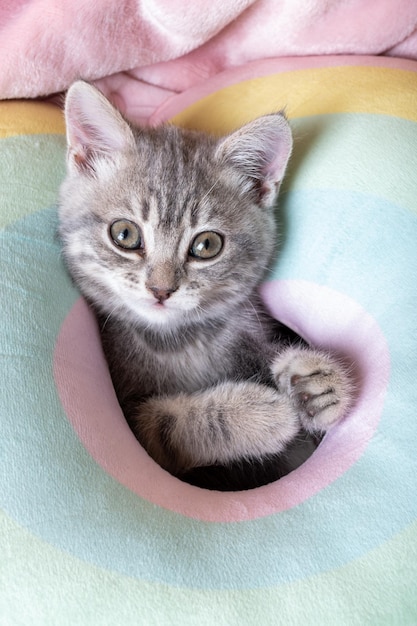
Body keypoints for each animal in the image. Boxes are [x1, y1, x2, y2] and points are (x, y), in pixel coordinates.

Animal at [57, 80, 352, 490]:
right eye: (125, 234)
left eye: (207, 245)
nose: (161, 290)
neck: (181, 341)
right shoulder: (134, 422)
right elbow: (165, 423)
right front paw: (263, 414)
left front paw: (318, 385)